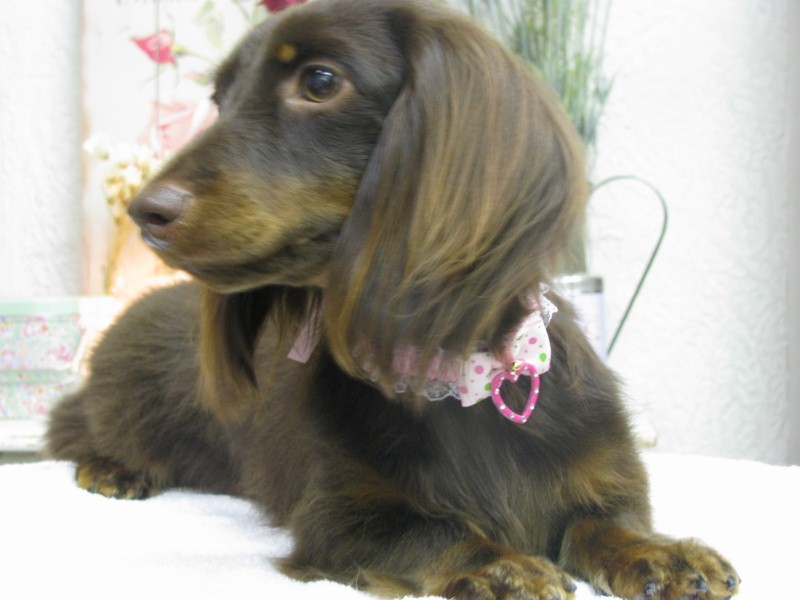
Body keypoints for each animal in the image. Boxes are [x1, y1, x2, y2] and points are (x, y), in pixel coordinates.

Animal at [47, 1, 740, 598]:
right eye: (220, 100)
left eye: (320, 80)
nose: (145, 212)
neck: (456, 376)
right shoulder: (340, 518)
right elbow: (434, 528)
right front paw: (502, 565)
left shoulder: (601, 468)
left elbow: (602, 522)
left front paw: (661, 553)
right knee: (70, 421)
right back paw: (113, 466)